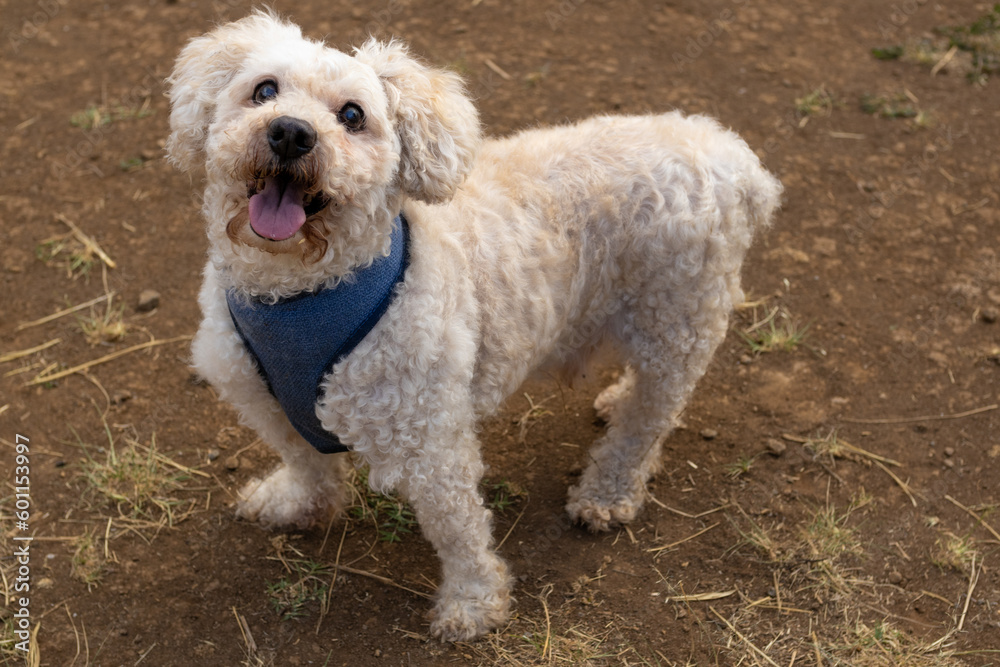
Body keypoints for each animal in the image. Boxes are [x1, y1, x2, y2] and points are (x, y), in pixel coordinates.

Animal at [168, 11, 784, 640]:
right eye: (264, 90)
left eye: (353, 116)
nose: (291, 133)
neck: (299, 293)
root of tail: (731, 156)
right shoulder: (263, 398)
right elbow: (305, 462)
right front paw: (298, 504)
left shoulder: (429, 440)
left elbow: (457, 528)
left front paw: (473, 603)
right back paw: (617, 400)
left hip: (678, 317)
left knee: (649, 421)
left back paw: (606, 491)